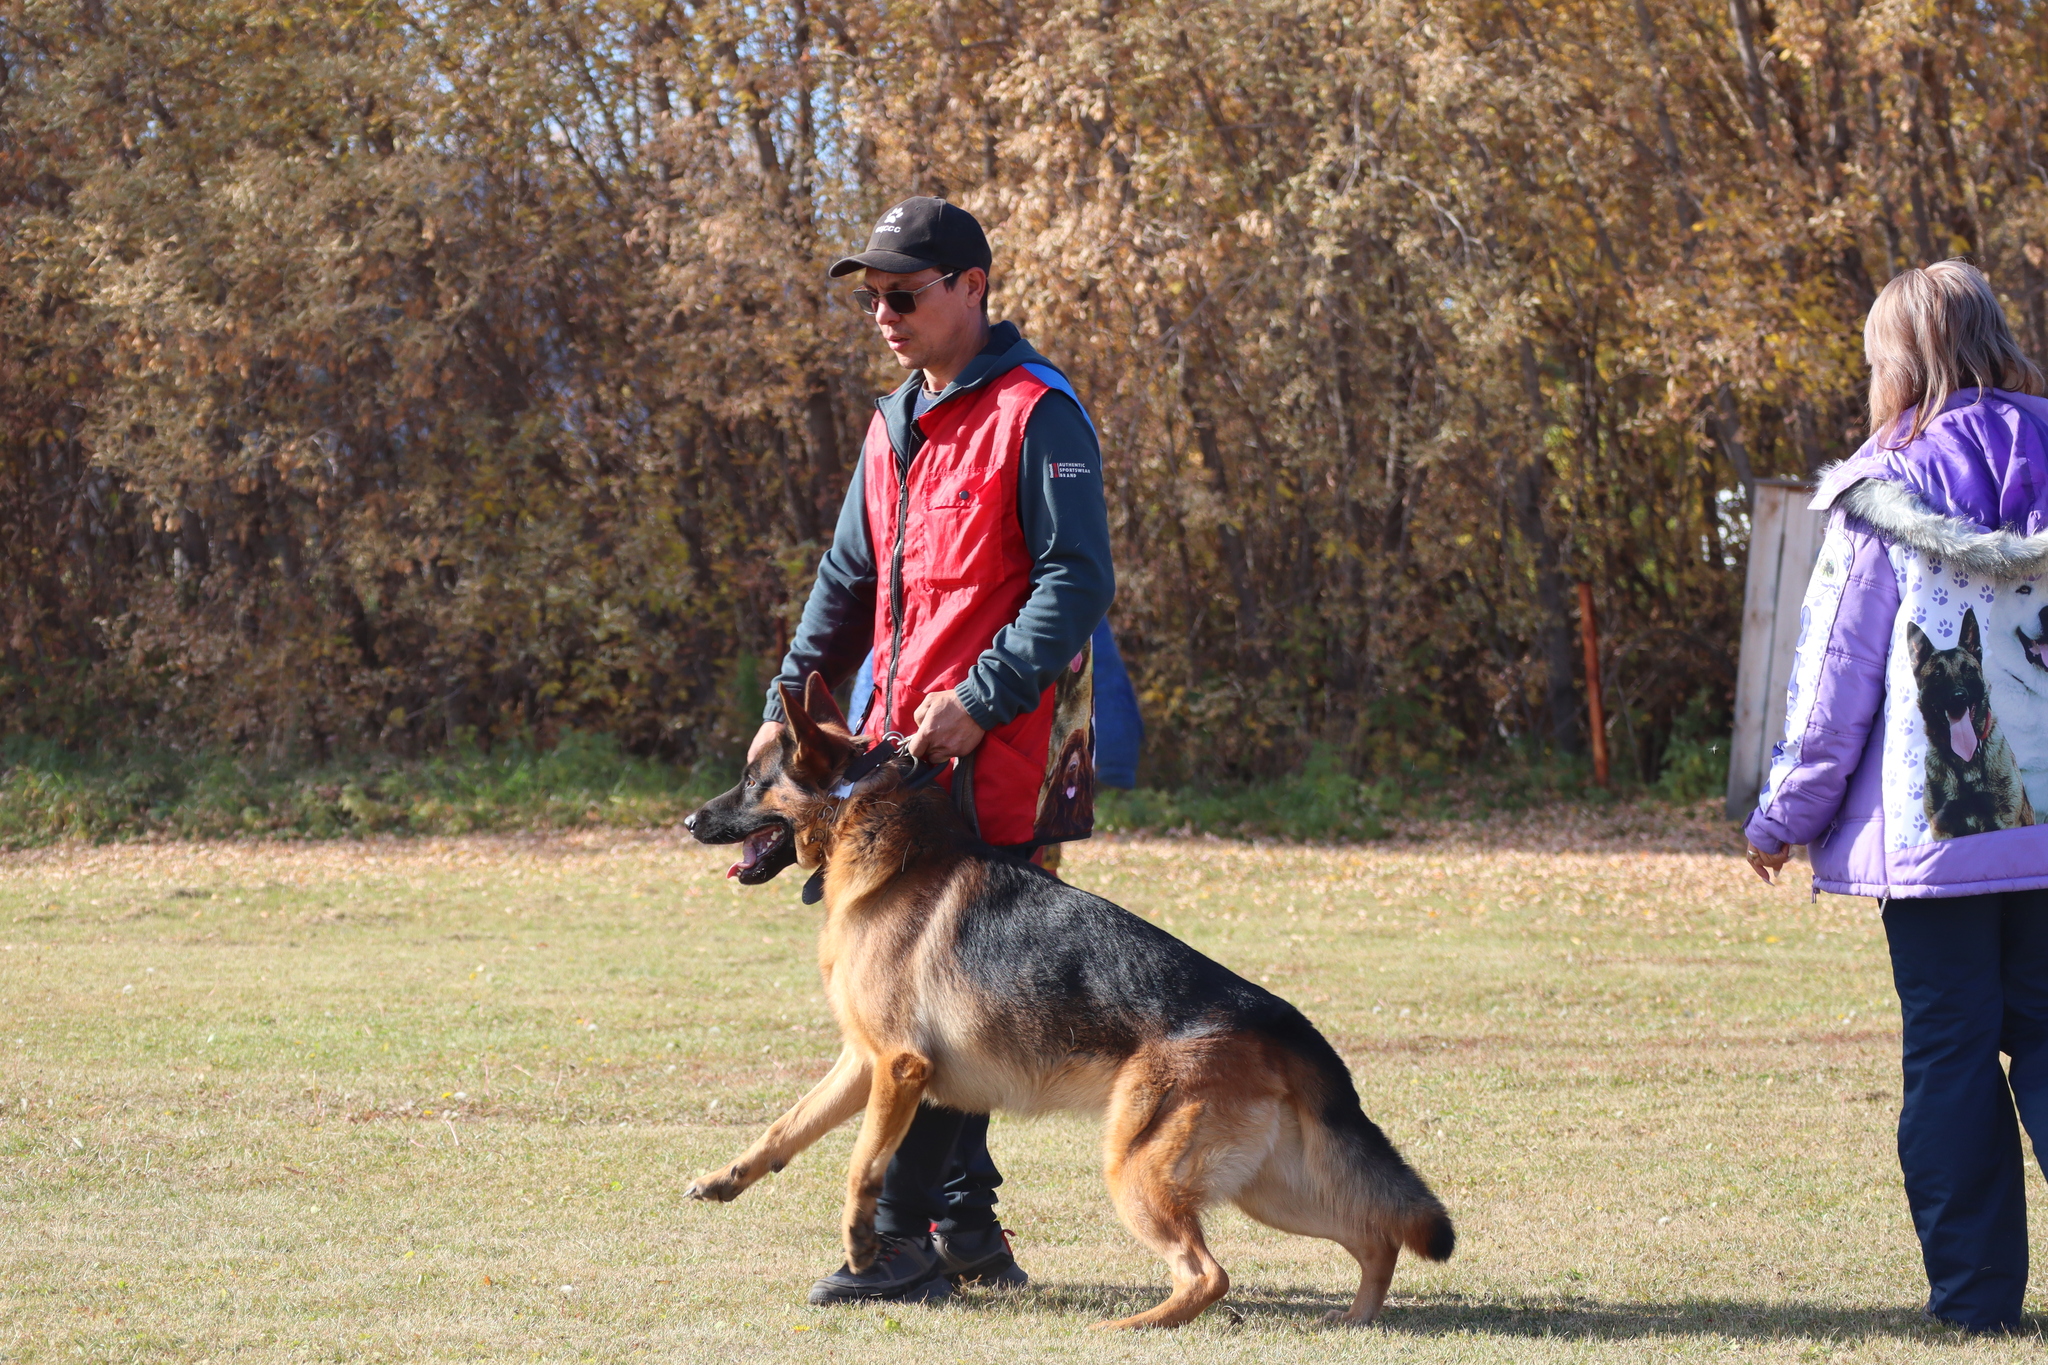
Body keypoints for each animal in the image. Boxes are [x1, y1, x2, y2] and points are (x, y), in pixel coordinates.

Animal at [688, 679, 1458, 1326]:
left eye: (751, 782)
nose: (693, 819)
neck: (863, 816)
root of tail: (1275, 1017)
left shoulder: (901, 1069)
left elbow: (862, 1165)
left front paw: (861, 1247)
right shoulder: (863, 1064)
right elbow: (784, 1128)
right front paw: (726, 1178)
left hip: (1139, 1172)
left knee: (1209, 1274)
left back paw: (1131, 1326)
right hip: (1269, 1189)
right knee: (1374, 1235)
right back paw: (1355, 1319)